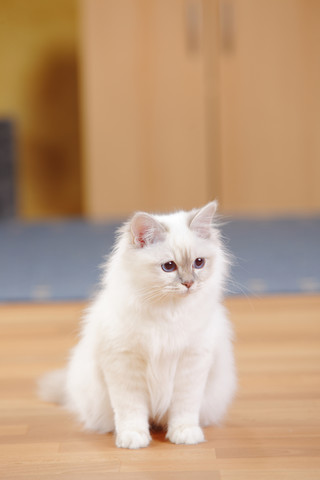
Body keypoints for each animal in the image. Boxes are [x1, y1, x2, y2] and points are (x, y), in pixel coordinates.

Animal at [38, 201, 236, 448]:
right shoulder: (124, 363)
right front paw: (133, 438)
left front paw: (185, 434)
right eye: (168, 266)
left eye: (199, 263)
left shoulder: (191, 364)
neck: (168, 312)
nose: (189, 283)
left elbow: (185, 408)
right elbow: (130, 410)